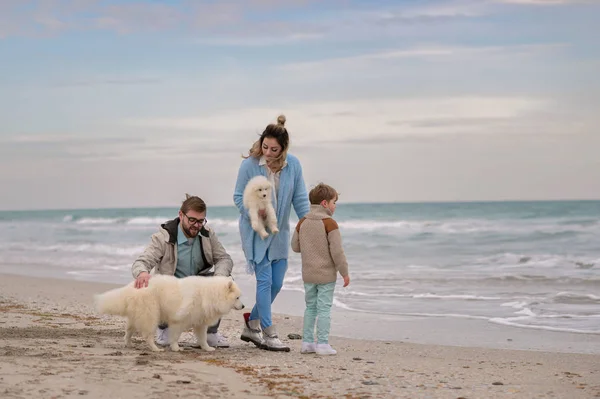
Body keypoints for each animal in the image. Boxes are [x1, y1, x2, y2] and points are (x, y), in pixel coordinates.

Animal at [94, 276, 244, 352]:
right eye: (237, 298)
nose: (243, 306)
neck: (208, 293)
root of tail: (132, 288)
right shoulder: (179, 319)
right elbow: (175, 335)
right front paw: (176, 347)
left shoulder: (200, 320)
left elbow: (202, 337)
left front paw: (207, 348)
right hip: (151, 313)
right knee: (147, 334)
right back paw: (155, 348)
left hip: (137, 314)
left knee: (129, 330)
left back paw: (128, 343)